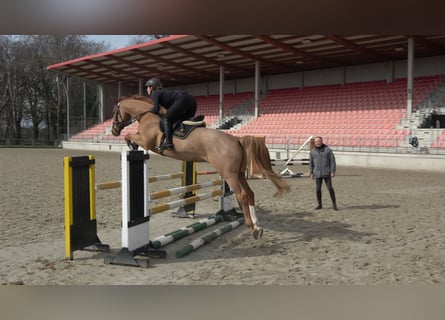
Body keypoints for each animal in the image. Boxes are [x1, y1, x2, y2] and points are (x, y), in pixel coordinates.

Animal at [111, 96, 290, 239]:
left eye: (114, 112)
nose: (113, 131)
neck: (148, 116)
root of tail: (235, 139)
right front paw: (131, 145)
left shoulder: (147, 142)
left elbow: (130, 136)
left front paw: (131, 144)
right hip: (238, 173)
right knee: (250, 193)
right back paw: (258, 226)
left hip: (229, 174)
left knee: (243, 195)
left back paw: (253, 228)